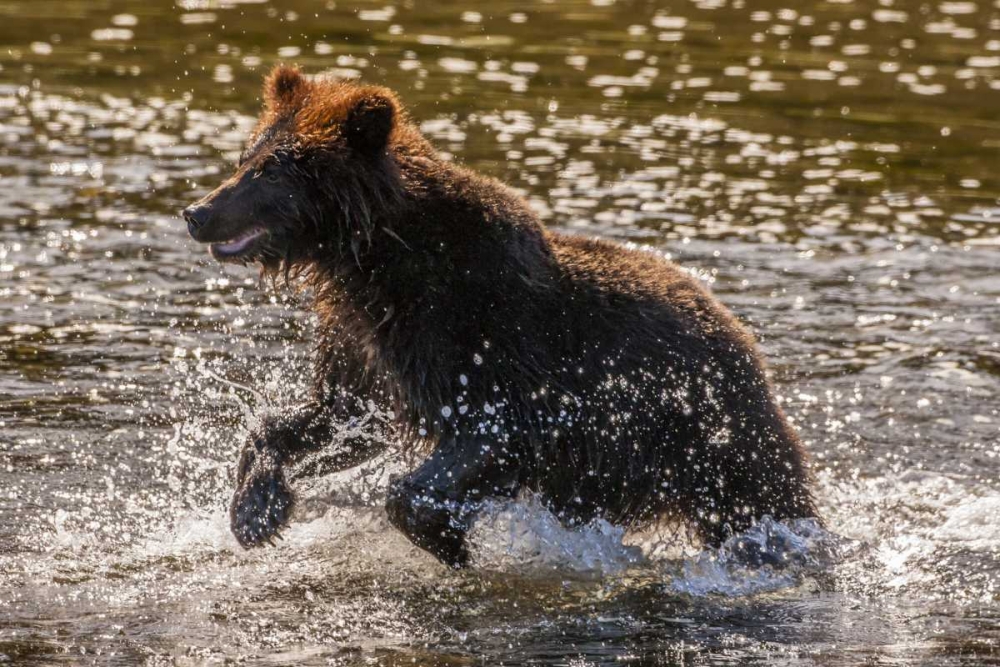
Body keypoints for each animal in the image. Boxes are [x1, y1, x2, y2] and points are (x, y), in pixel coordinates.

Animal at [182, 66, 818, 567]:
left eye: (274, 170)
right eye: (246, 157)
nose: (197, 212)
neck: (377, 258)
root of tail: (744, 339)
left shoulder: (483, 339)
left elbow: (483, 435)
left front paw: (450, 540)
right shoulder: (367, 343)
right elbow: (335, 414)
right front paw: (256, 510)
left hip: (714, 437)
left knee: (767, 507)